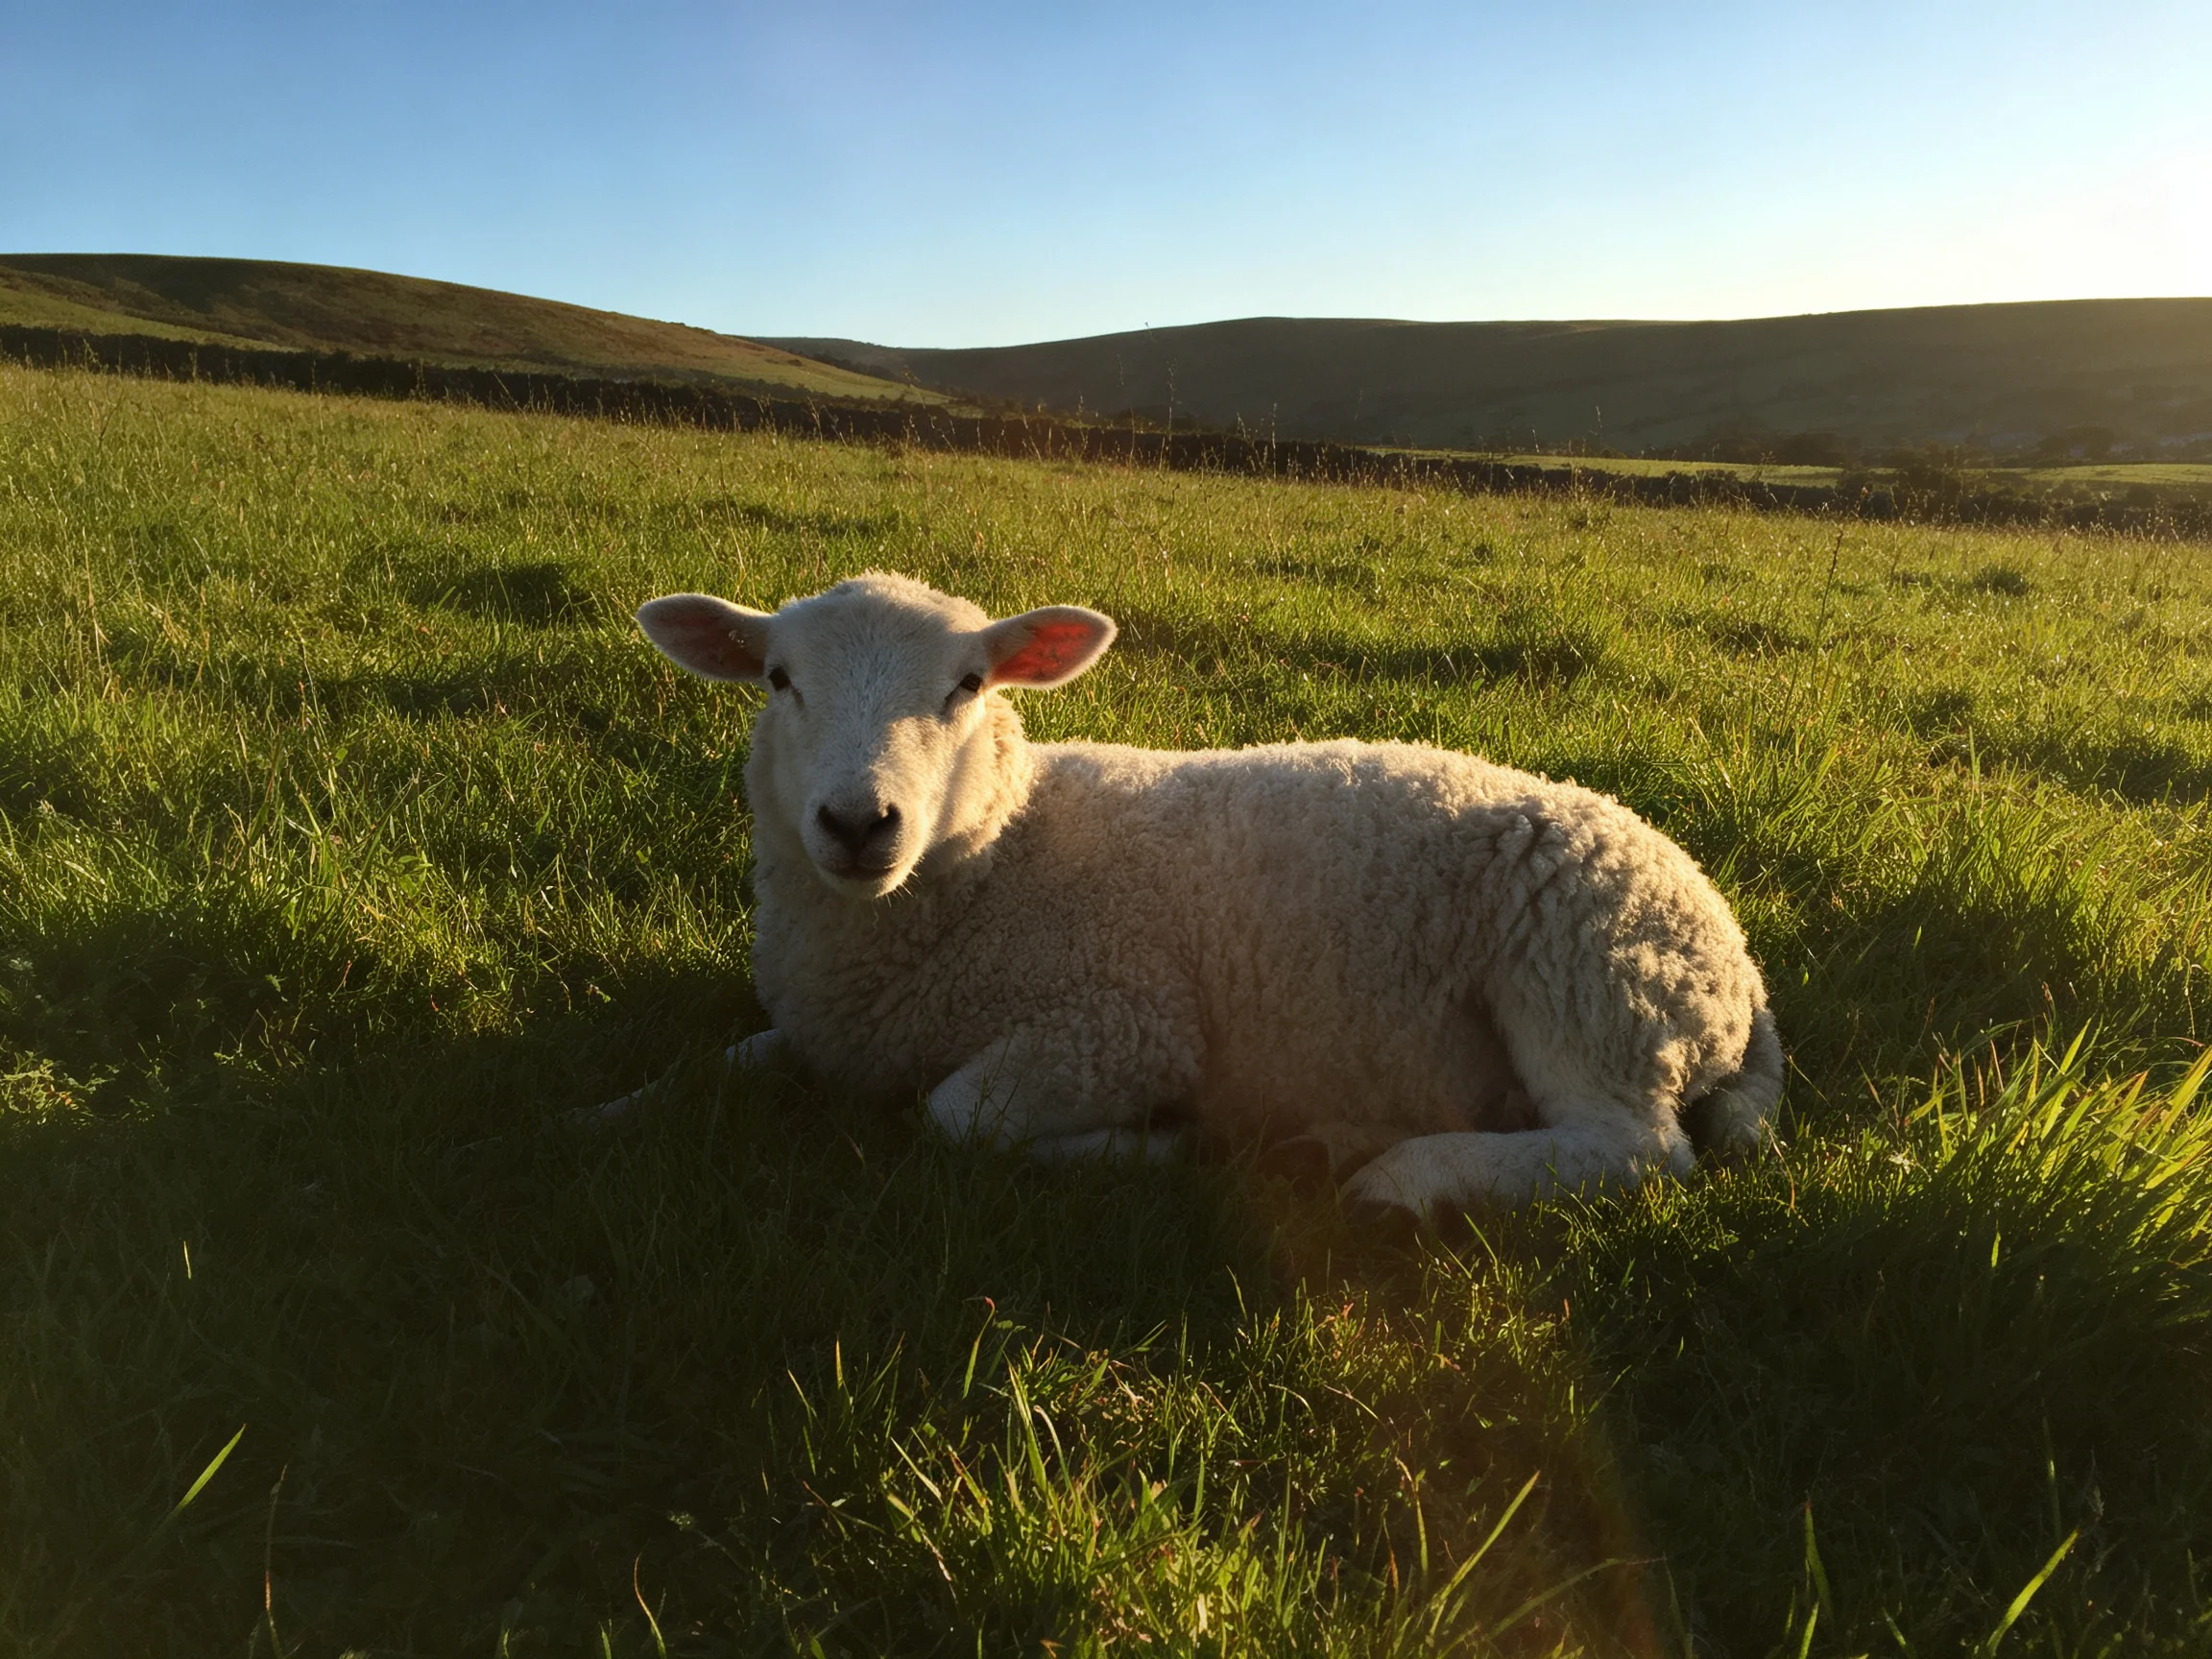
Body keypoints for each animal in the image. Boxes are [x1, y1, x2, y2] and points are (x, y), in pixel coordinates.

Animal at [633, 571, 1781, 1218]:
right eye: (778, 679)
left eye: (968, 687)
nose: (859, 823)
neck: (998, 858)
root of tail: (1737, 962)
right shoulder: (821, 1030)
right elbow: (719, 1065)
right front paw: (624, 1110)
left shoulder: (1121, 1025)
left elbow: (960, 1119)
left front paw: (1155, 1149)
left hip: (1587, 980)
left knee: (1634, 1152)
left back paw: (1404, 1180)